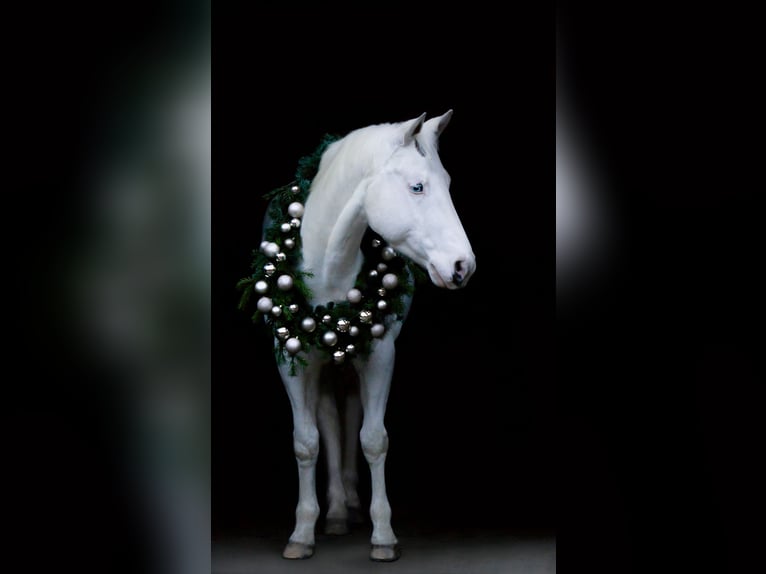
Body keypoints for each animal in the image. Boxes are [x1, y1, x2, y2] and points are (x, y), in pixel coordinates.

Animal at [249, 111, 474, 564]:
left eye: (448, 182)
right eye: (417, 186)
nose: (464, 265)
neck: (327, 263)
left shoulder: (380, 355)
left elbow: (373, 438)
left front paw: (383, 535)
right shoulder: (289, 359)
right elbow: (306, 442)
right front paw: (301, 533)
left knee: (350, 414)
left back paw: (347, 506)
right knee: (329, 420)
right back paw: (335, 511)